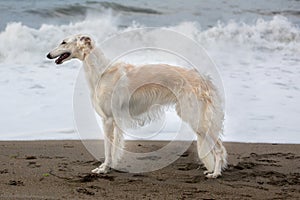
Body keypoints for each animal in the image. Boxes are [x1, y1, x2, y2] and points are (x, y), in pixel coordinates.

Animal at [45, 34, 226, 178]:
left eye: (63, 42)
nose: (48, 55)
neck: (102, 72)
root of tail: (204, 79)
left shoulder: (108, 119)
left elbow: (108, 149)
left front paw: (103, 169)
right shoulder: (114, 121)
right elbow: (114, 148)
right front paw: (109, 166)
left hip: (196, 118)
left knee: (218, 149)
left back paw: (216, 173)